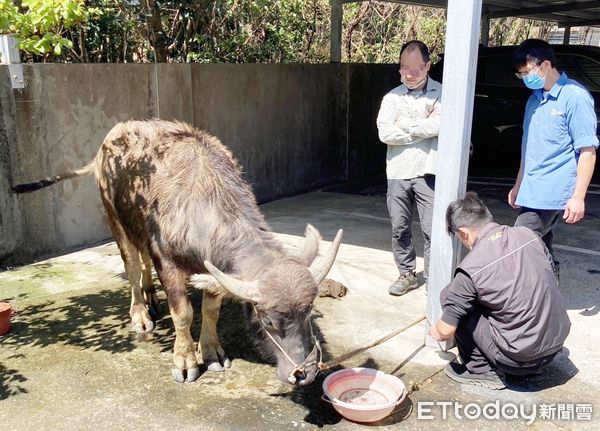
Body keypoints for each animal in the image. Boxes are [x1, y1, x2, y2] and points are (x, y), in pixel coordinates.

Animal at [12, 120, 342, 386]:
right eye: (269, 321)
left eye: (308, 312)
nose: (306, 373)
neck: (204, 202)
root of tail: (108, 143)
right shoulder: (168, 262)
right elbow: (183, 313)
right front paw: (185, 362)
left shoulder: (211, 268)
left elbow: (211, 310)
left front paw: (211, 352)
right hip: (115, 218)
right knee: (132, 265)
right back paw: (141, 313)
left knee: (143, 260)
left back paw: (151, 297)